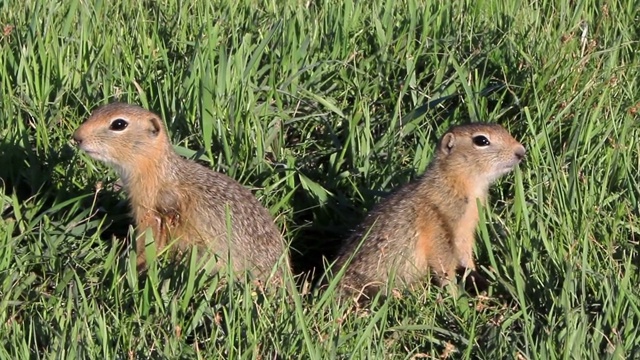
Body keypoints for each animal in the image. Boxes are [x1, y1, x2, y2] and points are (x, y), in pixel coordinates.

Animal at [330, 122, 524, 300]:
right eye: (481, 140)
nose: (521, 151)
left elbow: (465, 257)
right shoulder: (438, 227)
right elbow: (443, 263)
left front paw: (480, 280)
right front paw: (455, 296)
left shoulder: (465, 231)